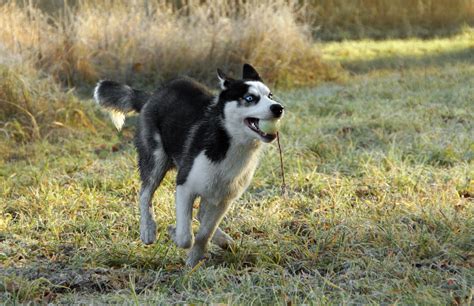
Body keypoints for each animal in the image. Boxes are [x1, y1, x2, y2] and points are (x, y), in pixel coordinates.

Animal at [94, 62, 284, 266]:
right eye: (250, 98)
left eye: (270, 96)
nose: (278, 108)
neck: (228, 143)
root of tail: (155, 93)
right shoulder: (185, 186)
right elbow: (186, 237)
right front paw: (174, 233)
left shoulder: (224, 199)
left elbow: (204, 235)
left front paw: (193, 262)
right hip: (156, 159)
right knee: (145, 194)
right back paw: (148, 230)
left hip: (210, 188)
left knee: (200, 214)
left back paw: (224, 240)